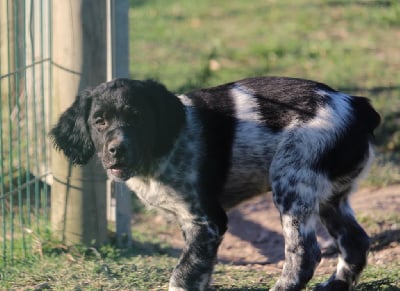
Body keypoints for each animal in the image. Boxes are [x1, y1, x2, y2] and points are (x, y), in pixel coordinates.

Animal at [50, 77, 382, 291]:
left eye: (138, 118)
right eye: (99, 121)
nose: (117, 149)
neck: (161, 148)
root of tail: (355, 105)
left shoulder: (208, 221)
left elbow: (182, 275)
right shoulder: (191, 224)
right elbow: (198, 268)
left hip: (291, 181)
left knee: (304, 254)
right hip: (330, 197)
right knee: (355, 241)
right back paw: (334, 285)